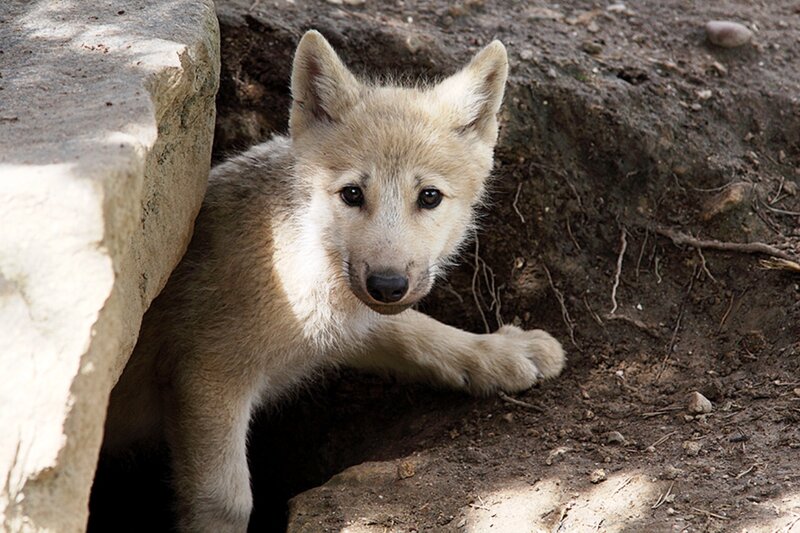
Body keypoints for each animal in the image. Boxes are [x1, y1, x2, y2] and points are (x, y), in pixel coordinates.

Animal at [103, 30, 565, 532]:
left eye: (429, 197)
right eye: (352, 194)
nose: (387, 285)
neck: (296, 265)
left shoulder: (355, 325)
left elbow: (421, 334)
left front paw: (500, 352)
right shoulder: (207, 379)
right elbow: (226, 503)